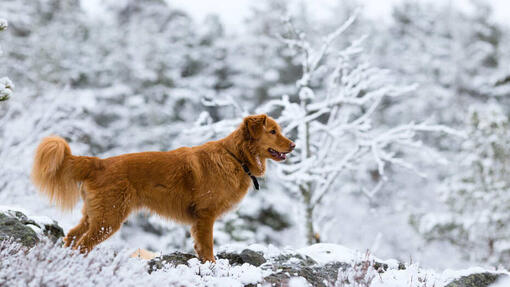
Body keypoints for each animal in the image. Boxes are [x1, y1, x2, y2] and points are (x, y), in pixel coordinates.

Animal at [30, 113, 294, 262]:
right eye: (273, 131)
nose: (293, 145)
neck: (235, 157)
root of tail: (99, 163)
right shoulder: (205, 215)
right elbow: (208, 246)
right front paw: (211, 265)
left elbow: (200, 247)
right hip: (109, 219)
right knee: (82, 244)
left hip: (94, 215)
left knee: (72, 236)